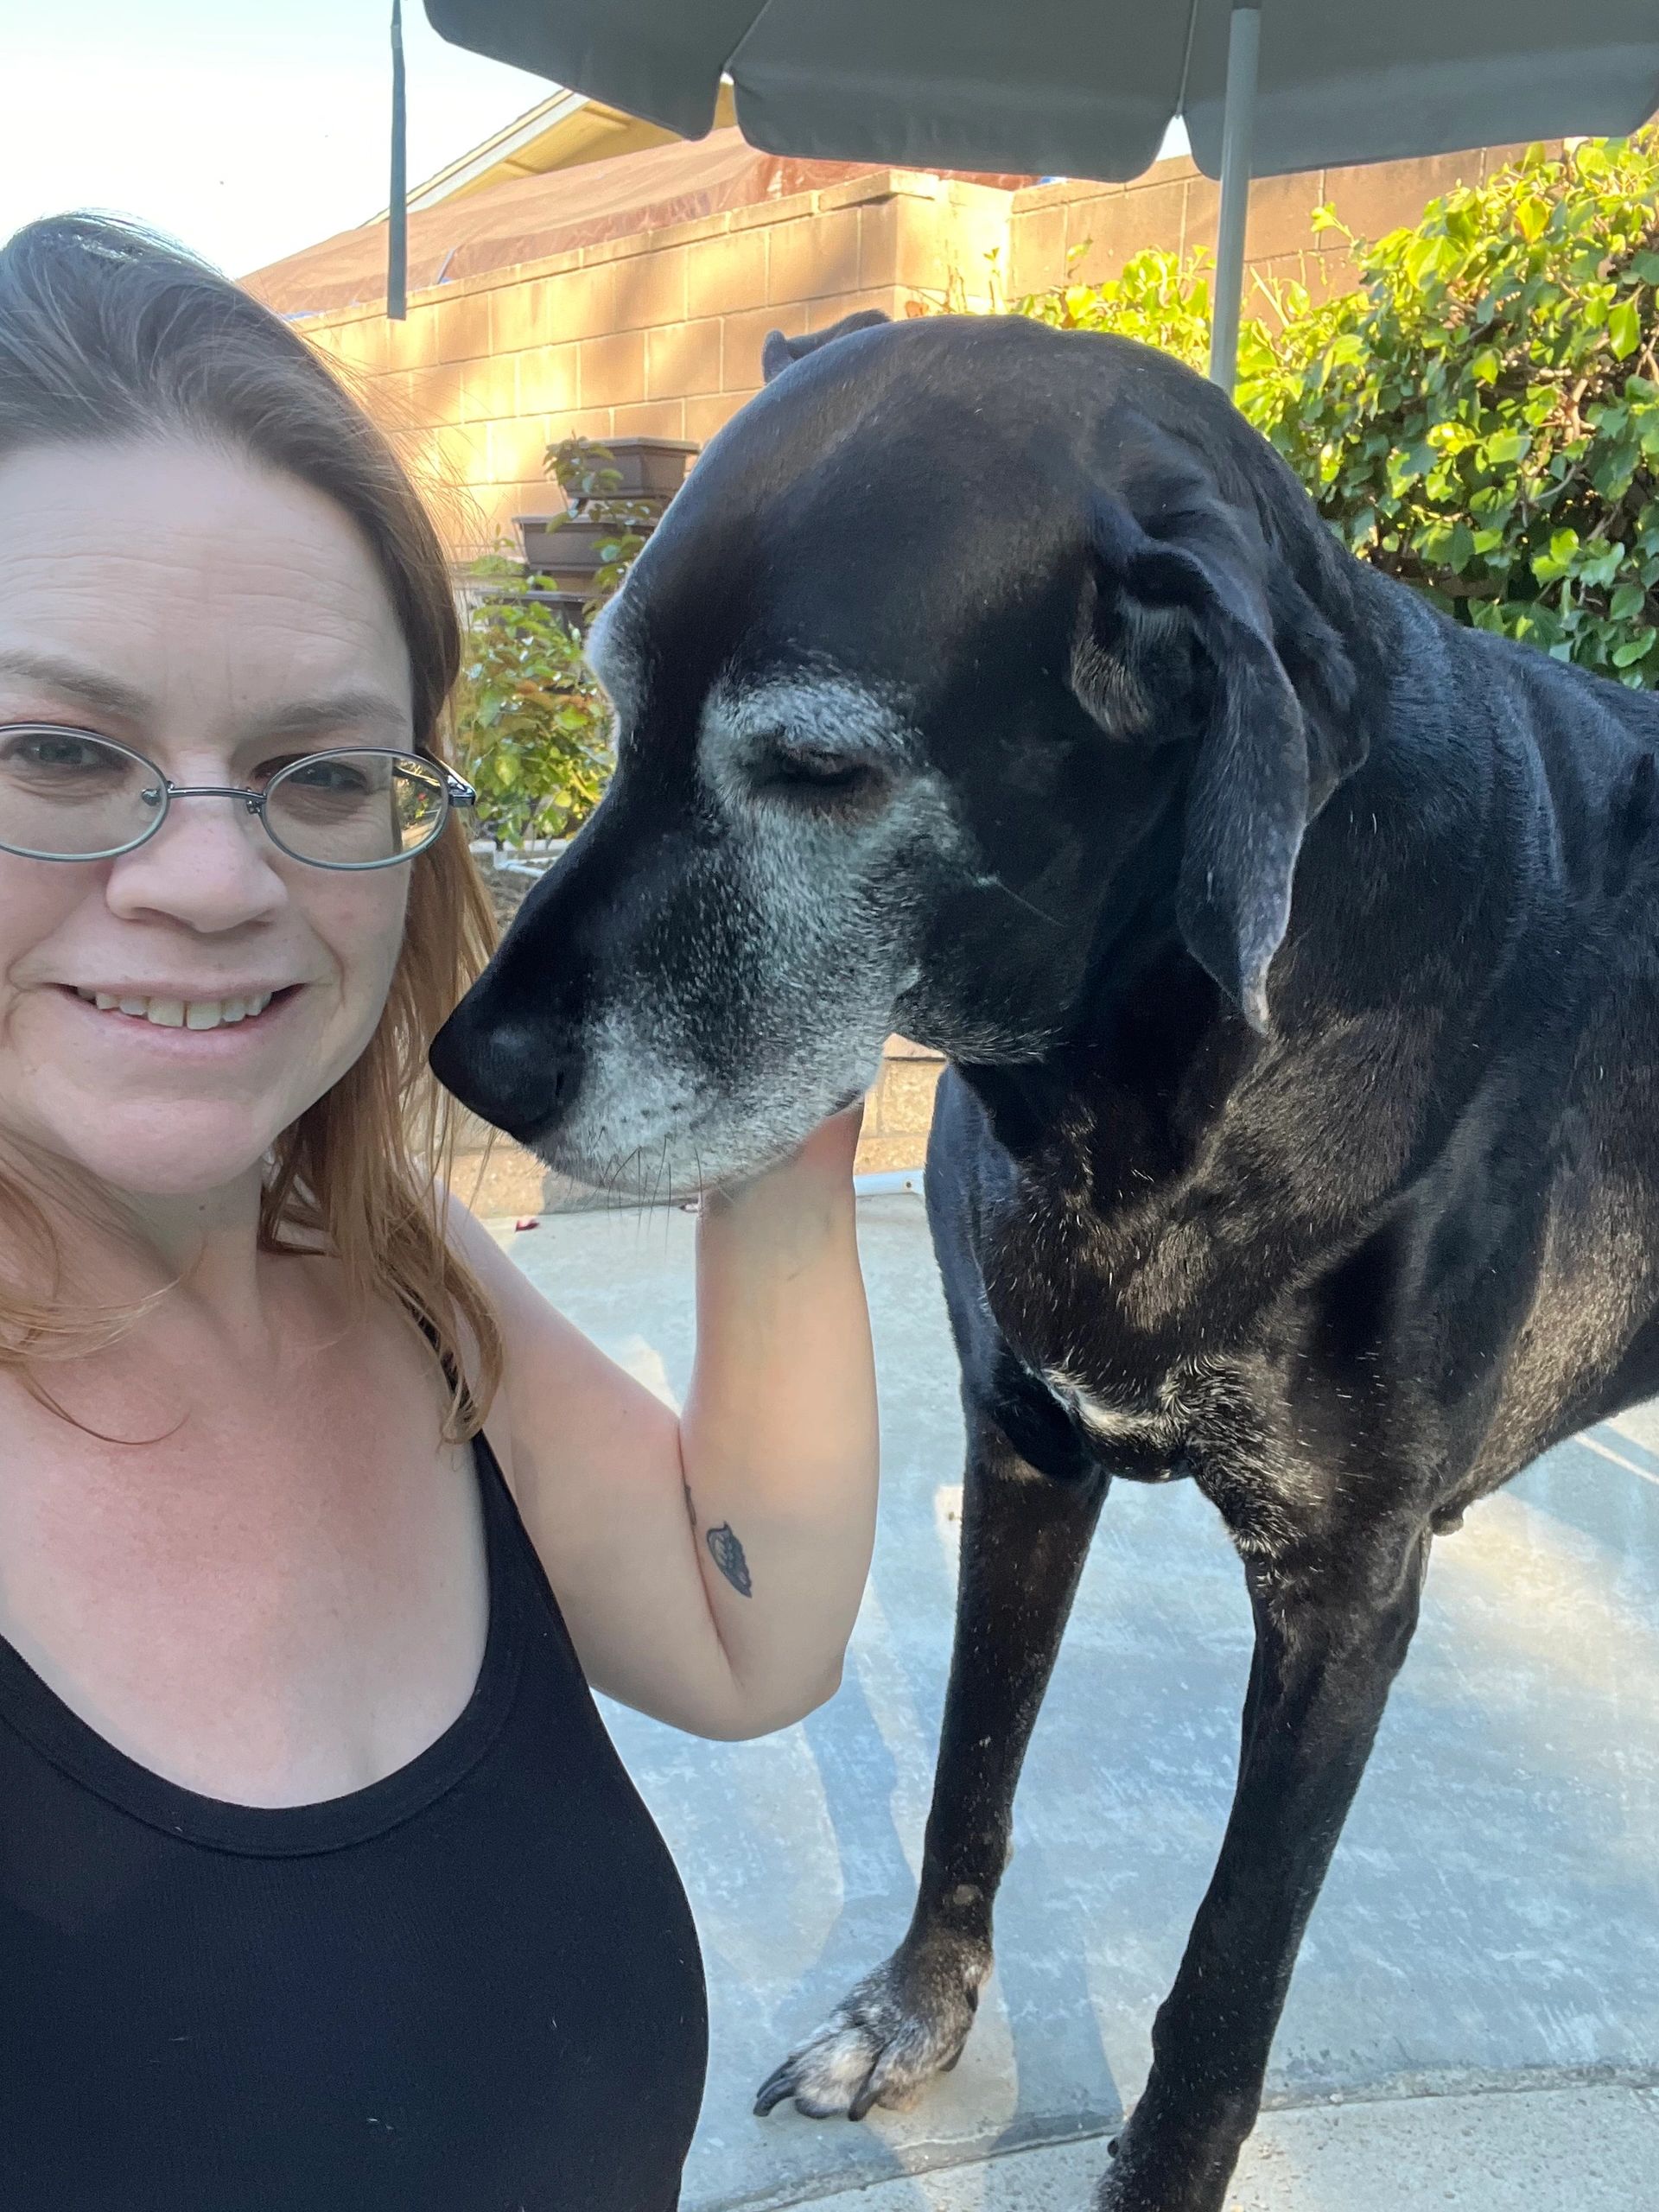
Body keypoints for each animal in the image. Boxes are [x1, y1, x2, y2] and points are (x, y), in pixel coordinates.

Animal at [431, 311, 1659, 2212]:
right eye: (615, 704)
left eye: (821, 774)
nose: (468, 1064)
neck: (1143, 1076)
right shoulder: (1022, 1440)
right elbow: (971, 1767)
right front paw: (911, 2014)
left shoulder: (1343, 1597)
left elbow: (1227, 1975)